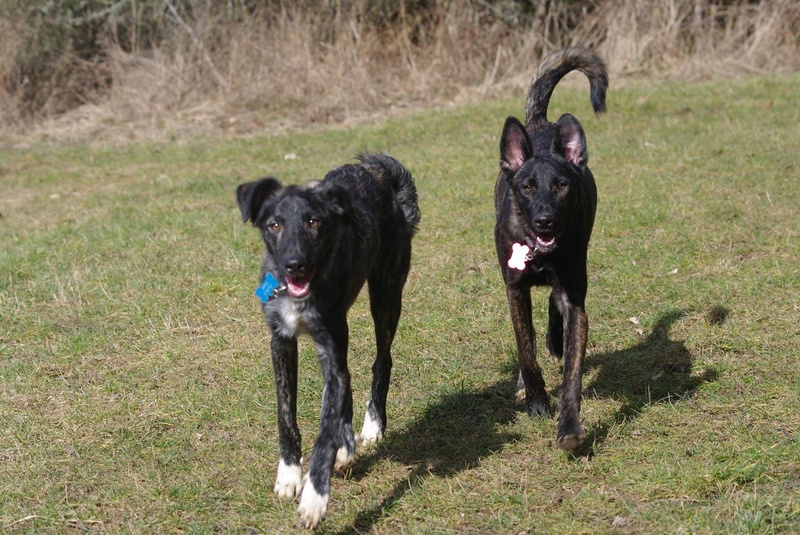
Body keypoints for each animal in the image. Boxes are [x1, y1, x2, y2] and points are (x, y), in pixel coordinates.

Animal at [236, 152, 418, 528]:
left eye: (313, 222)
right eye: (274, 225)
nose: (294, 264)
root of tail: (379, 169)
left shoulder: (329, 345)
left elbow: (324, 432)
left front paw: (314, 499)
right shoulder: (281, 342)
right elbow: (286, 415)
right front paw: (289, 474)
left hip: (386, 290)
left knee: (381, 360)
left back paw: (371, 426)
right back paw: (346, 445)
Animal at [494, 47, 608, 452]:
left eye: (561, 185)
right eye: (527, 187)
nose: (544, 221)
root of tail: (540, 121)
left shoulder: (576, 299)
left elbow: (572, 374)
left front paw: (569, 426)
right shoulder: (514, 289)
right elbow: (525, 351)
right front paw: (537, 401)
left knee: (553, 302)